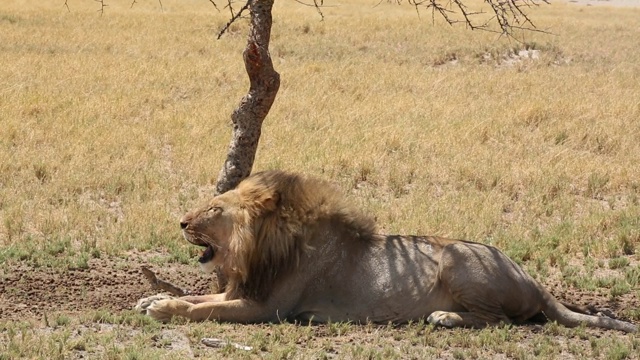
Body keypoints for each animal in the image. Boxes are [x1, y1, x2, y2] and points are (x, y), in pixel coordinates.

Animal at [135, 170, 636, 334]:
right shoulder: (242, 291)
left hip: (456, 257)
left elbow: (203, 310)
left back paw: (445, 317)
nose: (181, 222)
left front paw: (162, 308)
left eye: (214, 209)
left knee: (504, 320)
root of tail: (533, 278)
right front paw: (151, 298)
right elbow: (199, 297)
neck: (257, 250)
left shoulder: (266, 308)